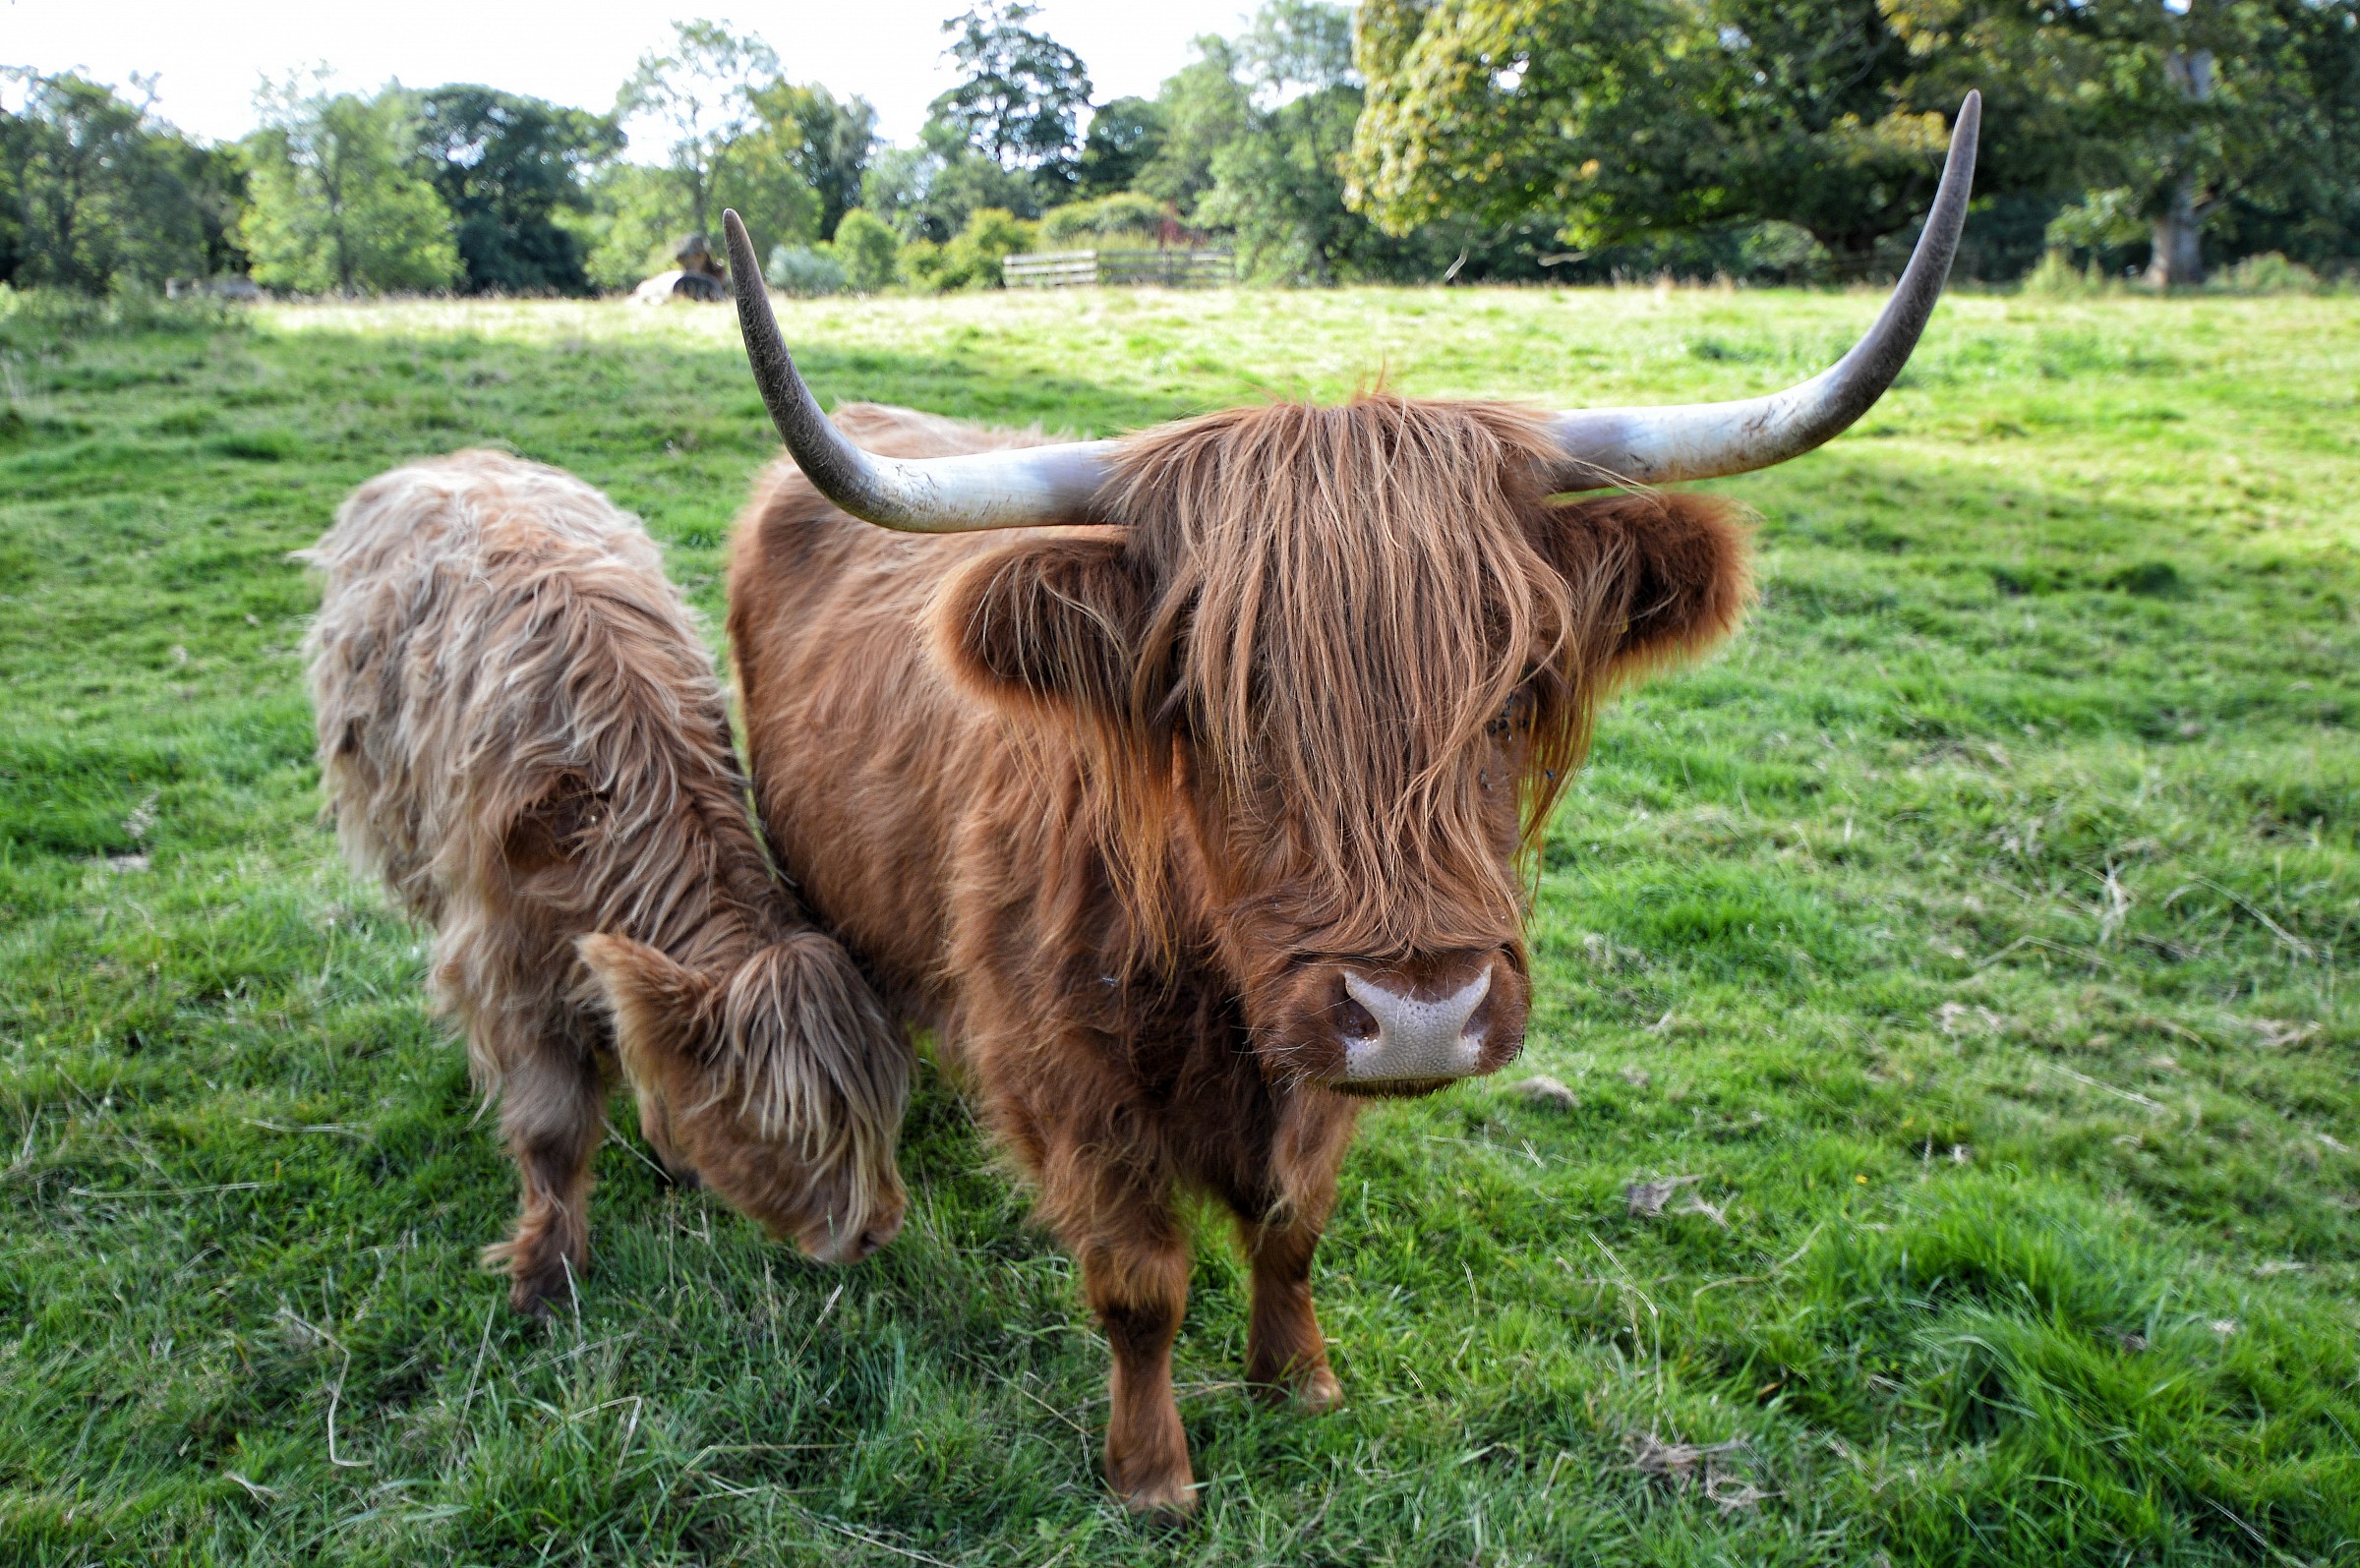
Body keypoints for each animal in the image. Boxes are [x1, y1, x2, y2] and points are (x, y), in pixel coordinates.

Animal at [303, 451, 911, 1315]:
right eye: (784, 1129)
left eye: (881, 1116)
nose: (877, 1230)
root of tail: (448, 459)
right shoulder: (505, 961)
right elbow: (551, 1125)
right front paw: (545, 1271)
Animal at [706, 97, 1979, 1515]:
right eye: (1215, 702)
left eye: (1516, 689)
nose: (1420, 1011)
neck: (1209, 994)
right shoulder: (1065, 1076)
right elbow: (1140, 1283)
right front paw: (1152, 1471)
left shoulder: (1313, 1078)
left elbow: (1292, 1225)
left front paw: (1299, 1378)